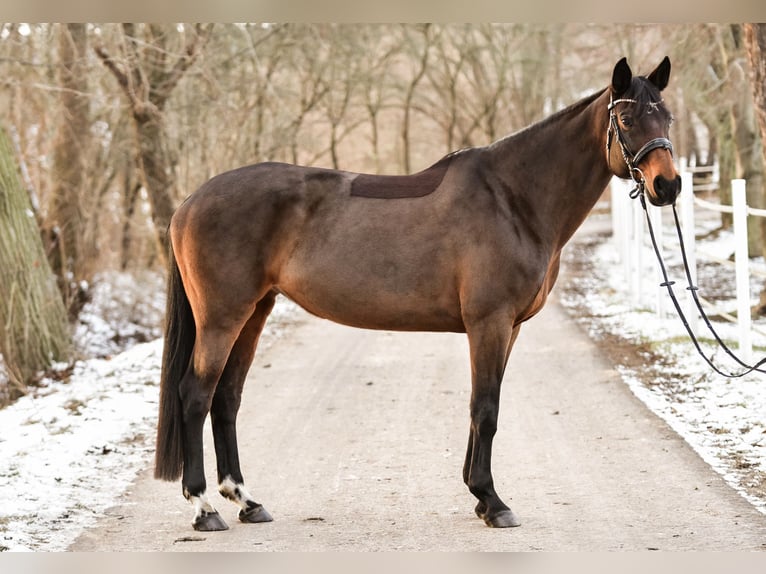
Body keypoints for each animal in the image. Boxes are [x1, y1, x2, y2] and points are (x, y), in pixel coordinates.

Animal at [153, 56, 680, 532]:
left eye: (668, 117)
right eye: (627, 119)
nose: (668, 185)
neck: (513, 198)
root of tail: (189, 202)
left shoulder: (506, 329)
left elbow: (481, 406)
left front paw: (478, 495)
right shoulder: (489, 322)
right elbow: (486, 408)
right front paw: (493, 502)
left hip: (255, 311)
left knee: (227, 398)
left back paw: (247, 501)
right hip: (223, 317)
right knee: (196, 395)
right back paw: (204, 508)